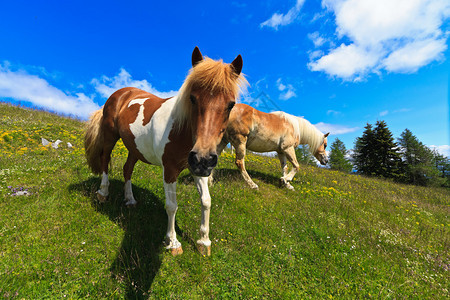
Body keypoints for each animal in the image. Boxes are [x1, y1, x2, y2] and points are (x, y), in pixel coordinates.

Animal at [82, 47, 248, 255]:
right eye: (192, 98)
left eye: (231, 104)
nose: (203, 158)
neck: (181, 130)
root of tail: (122, 92)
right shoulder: (170, 170)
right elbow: (171, 206)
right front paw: (173, 242)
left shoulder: (198, 170)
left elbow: (206, 201)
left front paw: (204, 241)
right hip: (109, 136)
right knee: (105, 160)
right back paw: (103, 193)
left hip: (135, 148)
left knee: (127, 170)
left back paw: (130, 200)